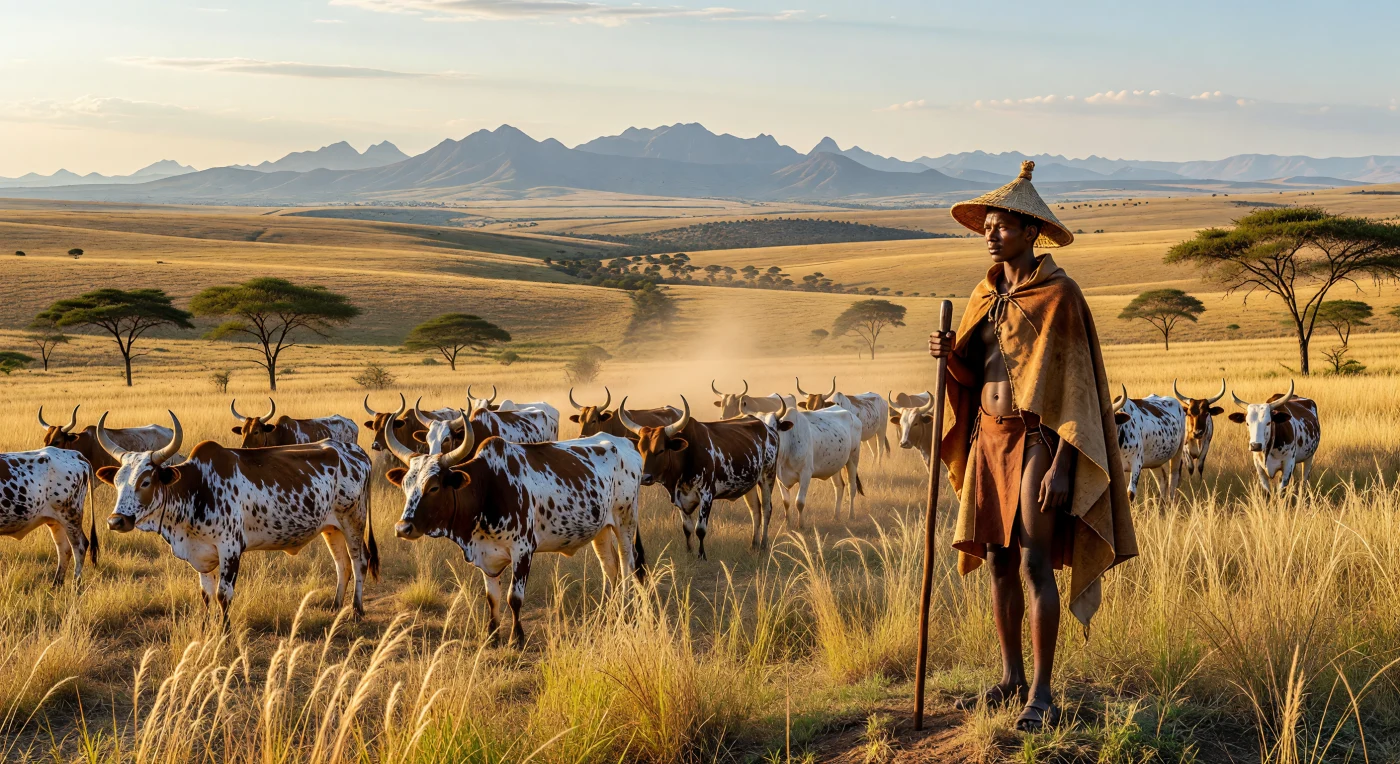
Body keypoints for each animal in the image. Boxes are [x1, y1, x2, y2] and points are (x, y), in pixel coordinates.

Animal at [0, 447, 93, 584]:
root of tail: (74, 453)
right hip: (55, 520)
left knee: (79, 547)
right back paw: (56, 584)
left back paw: (75, 585)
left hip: (70, 515)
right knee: (64, 549)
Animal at [95, 411, 378, 622]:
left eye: (145, 482)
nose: (116, 521)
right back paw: (336, 604)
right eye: (117, 482)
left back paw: (356, 609)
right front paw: (207, 629)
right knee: (341, 563)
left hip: (353, 520)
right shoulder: (201, 554)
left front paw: (225, 634)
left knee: (359, 561)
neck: (197, 486)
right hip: (331, 527)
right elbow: (206, 595)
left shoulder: (230, 549)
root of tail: (356, 451)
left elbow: (223, 595)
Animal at [383, 410, 645, 646]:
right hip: (601, 529)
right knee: (609, 567)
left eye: (434, 487)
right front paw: (492, 636)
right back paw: (607, 611)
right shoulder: (486, 555)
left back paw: (624, 609)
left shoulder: (523, 551)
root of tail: (625, 445)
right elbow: (492, 598)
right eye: (406, 484)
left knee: (627, 564)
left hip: (625, 521)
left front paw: (516, 639)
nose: (403, 527)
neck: (488, 487)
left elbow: (514, 598)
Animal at [616, 396, 779, 558]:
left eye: (661, 450)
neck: (685, 458)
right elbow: (687, 528)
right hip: (750, 484)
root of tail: (768, 428)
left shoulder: (706, 495)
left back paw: (763, 545)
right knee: (755, 510)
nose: (645, 477)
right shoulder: (679, 498)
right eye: (640, 450)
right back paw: (754, 545)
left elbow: (700, 529)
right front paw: (689, 552)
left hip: (768, 477)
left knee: (766, 509)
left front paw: (701, 556)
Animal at [744, 395, 863, 525]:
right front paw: (788, 524)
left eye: (773, 427)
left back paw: (851, 515)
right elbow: (786, 502)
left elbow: (799, 502)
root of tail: (852, 416)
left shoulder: (806, 474)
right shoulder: (779, 478)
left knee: (852, 487)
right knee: (839, 486)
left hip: (853, 459)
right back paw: (836, 516)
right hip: (835, 464)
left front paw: (801, 525)